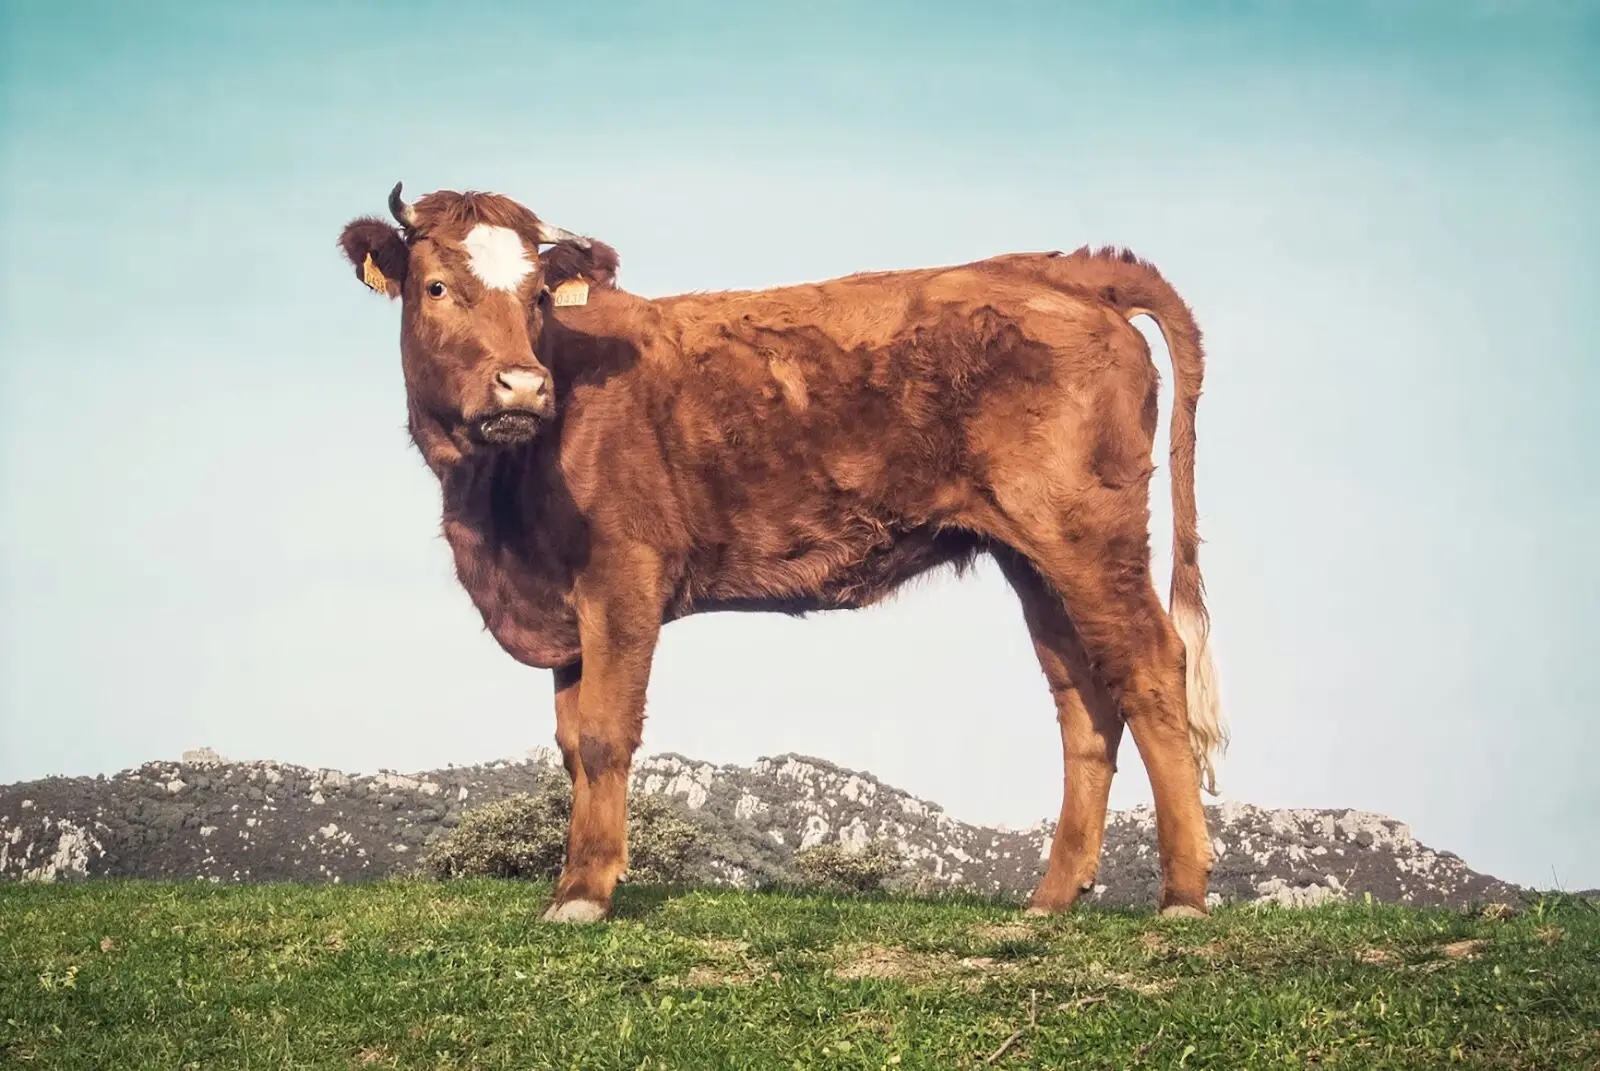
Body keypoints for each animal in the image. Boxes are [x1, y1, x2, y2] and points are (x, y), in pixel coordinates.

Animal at [336, 182, 1227, 923]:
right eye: (436, 287)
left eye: (537, 298)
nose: (523, 386)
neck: (495, 508)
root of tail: (1059, 269)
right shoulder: (563, 602)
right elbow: (569, 746)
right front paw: (573, 877)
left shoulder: (624, 577)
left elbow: (603, 736)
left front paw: (583, 892)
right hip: (1034, 556)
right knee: (1085, 701)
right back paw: (1051, 898)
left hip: (1089, 535)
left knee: (1152, 667)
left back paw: (1183, 895)